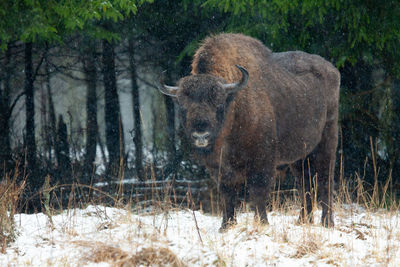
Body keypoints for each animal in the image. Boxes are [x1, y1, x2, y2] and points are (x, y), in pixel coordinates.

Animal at [159, 33, 340, 230]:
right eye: (183, 107)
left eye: (219, 104)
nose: (201, 135)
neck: (235, 104)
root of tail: (333, 71)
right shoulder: (220, 168)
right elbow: (228, 194)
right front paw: (226, 226)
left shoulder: (261, 161)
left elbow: (258, 192)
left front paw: (262, 223)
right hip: (300, 156)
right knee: (304, 184)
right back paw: (302, 221)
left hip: (327, 142)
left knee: (325, 180)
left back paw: (327, 222)